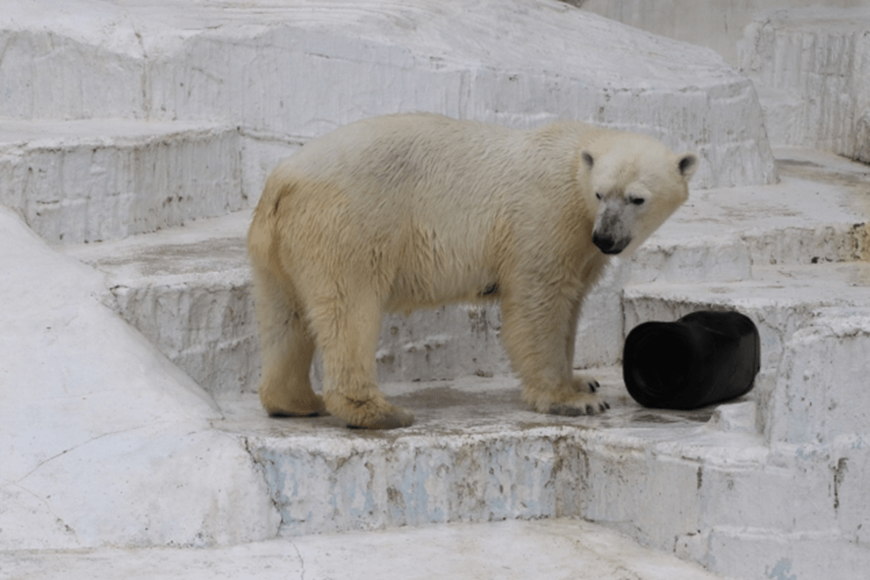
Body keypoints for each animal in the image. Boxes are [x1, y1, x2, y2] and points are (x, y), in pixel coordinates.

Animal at [249, 114, 700, 430]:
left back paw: (296, 402)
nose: (605, 238)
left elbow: (570, 306)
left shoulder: (579, 243)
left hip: (278, 245)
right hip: (351, 223)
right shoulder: (546, 217)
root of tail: (281, 181)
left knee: (286, 316)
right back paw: (379, 413)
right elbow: (538, 303)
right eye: (601, 193)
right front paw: (572, 400)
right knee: (350, 310)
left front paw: (581, 382)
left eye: (637, 198)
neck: (574, 161)